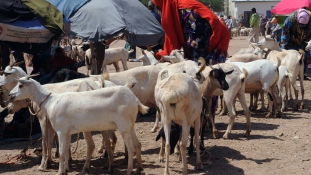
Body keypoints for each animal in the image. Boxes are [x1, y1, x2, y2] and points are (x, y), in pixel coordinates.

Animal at [8, 78, 147, 175]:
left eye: (20, 85)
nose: (10, 95)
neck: (50, 102)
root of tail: (135, 100)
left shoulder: (61, 131)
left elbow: (61, 152)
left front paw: (59, 171)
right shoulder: (67, 132)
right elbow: (64, 151)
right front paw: (65, 170)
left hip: (123, 126)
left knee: (131, 148)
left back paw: (129, 171)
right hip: (130, 125)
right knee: (137, 144)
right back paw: (139, 169)